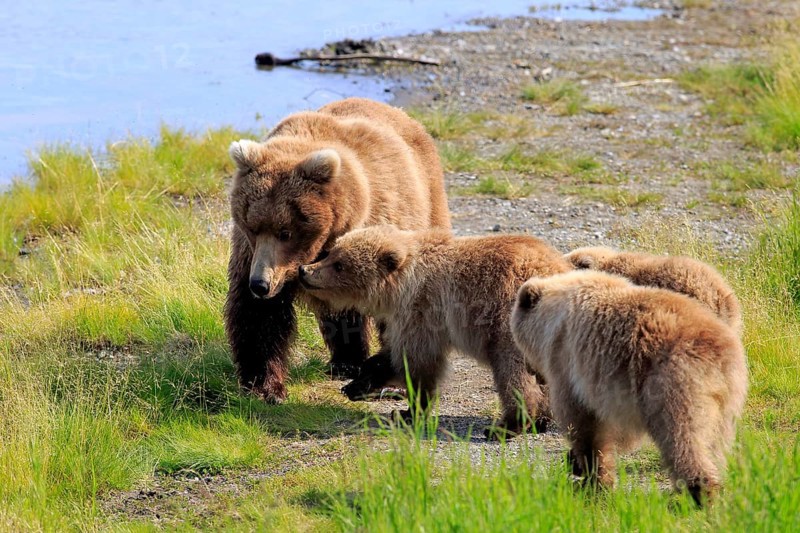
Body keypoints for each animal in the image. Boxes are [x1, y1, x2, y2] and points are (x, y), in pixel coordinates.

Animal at [225, 98, 450, 403]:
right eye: (252, 226)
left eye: (286, 232)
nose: (260, 284)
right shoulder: (251, 254)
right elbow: (258, 317)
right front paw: (265, 386)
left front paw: (390, 379)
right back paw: (345, 361)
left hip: (428, 201)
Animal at [297, 225, 574, 435]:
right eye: (331, 252)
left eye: (339, 265)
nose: (305, 270)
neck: (403, 285)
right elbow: (391, 357)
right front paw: (356, 383)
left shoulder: (423, 311)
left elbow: (418, 363)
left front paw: (409, 412)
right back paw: (541, 420)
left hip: (508, 322)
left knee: (512, 372)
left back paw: (508, 425)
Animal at [510, 270, 748, 506]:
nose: (530, 369)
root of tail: (718, 352)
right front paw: (577, 464)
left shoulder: (568, 364)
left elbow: (584, 424)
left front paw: (591, 478)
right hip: (728, 399)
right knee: (716, 441)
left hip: (673, 382)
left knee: (683, 435)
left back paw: (699, 492)